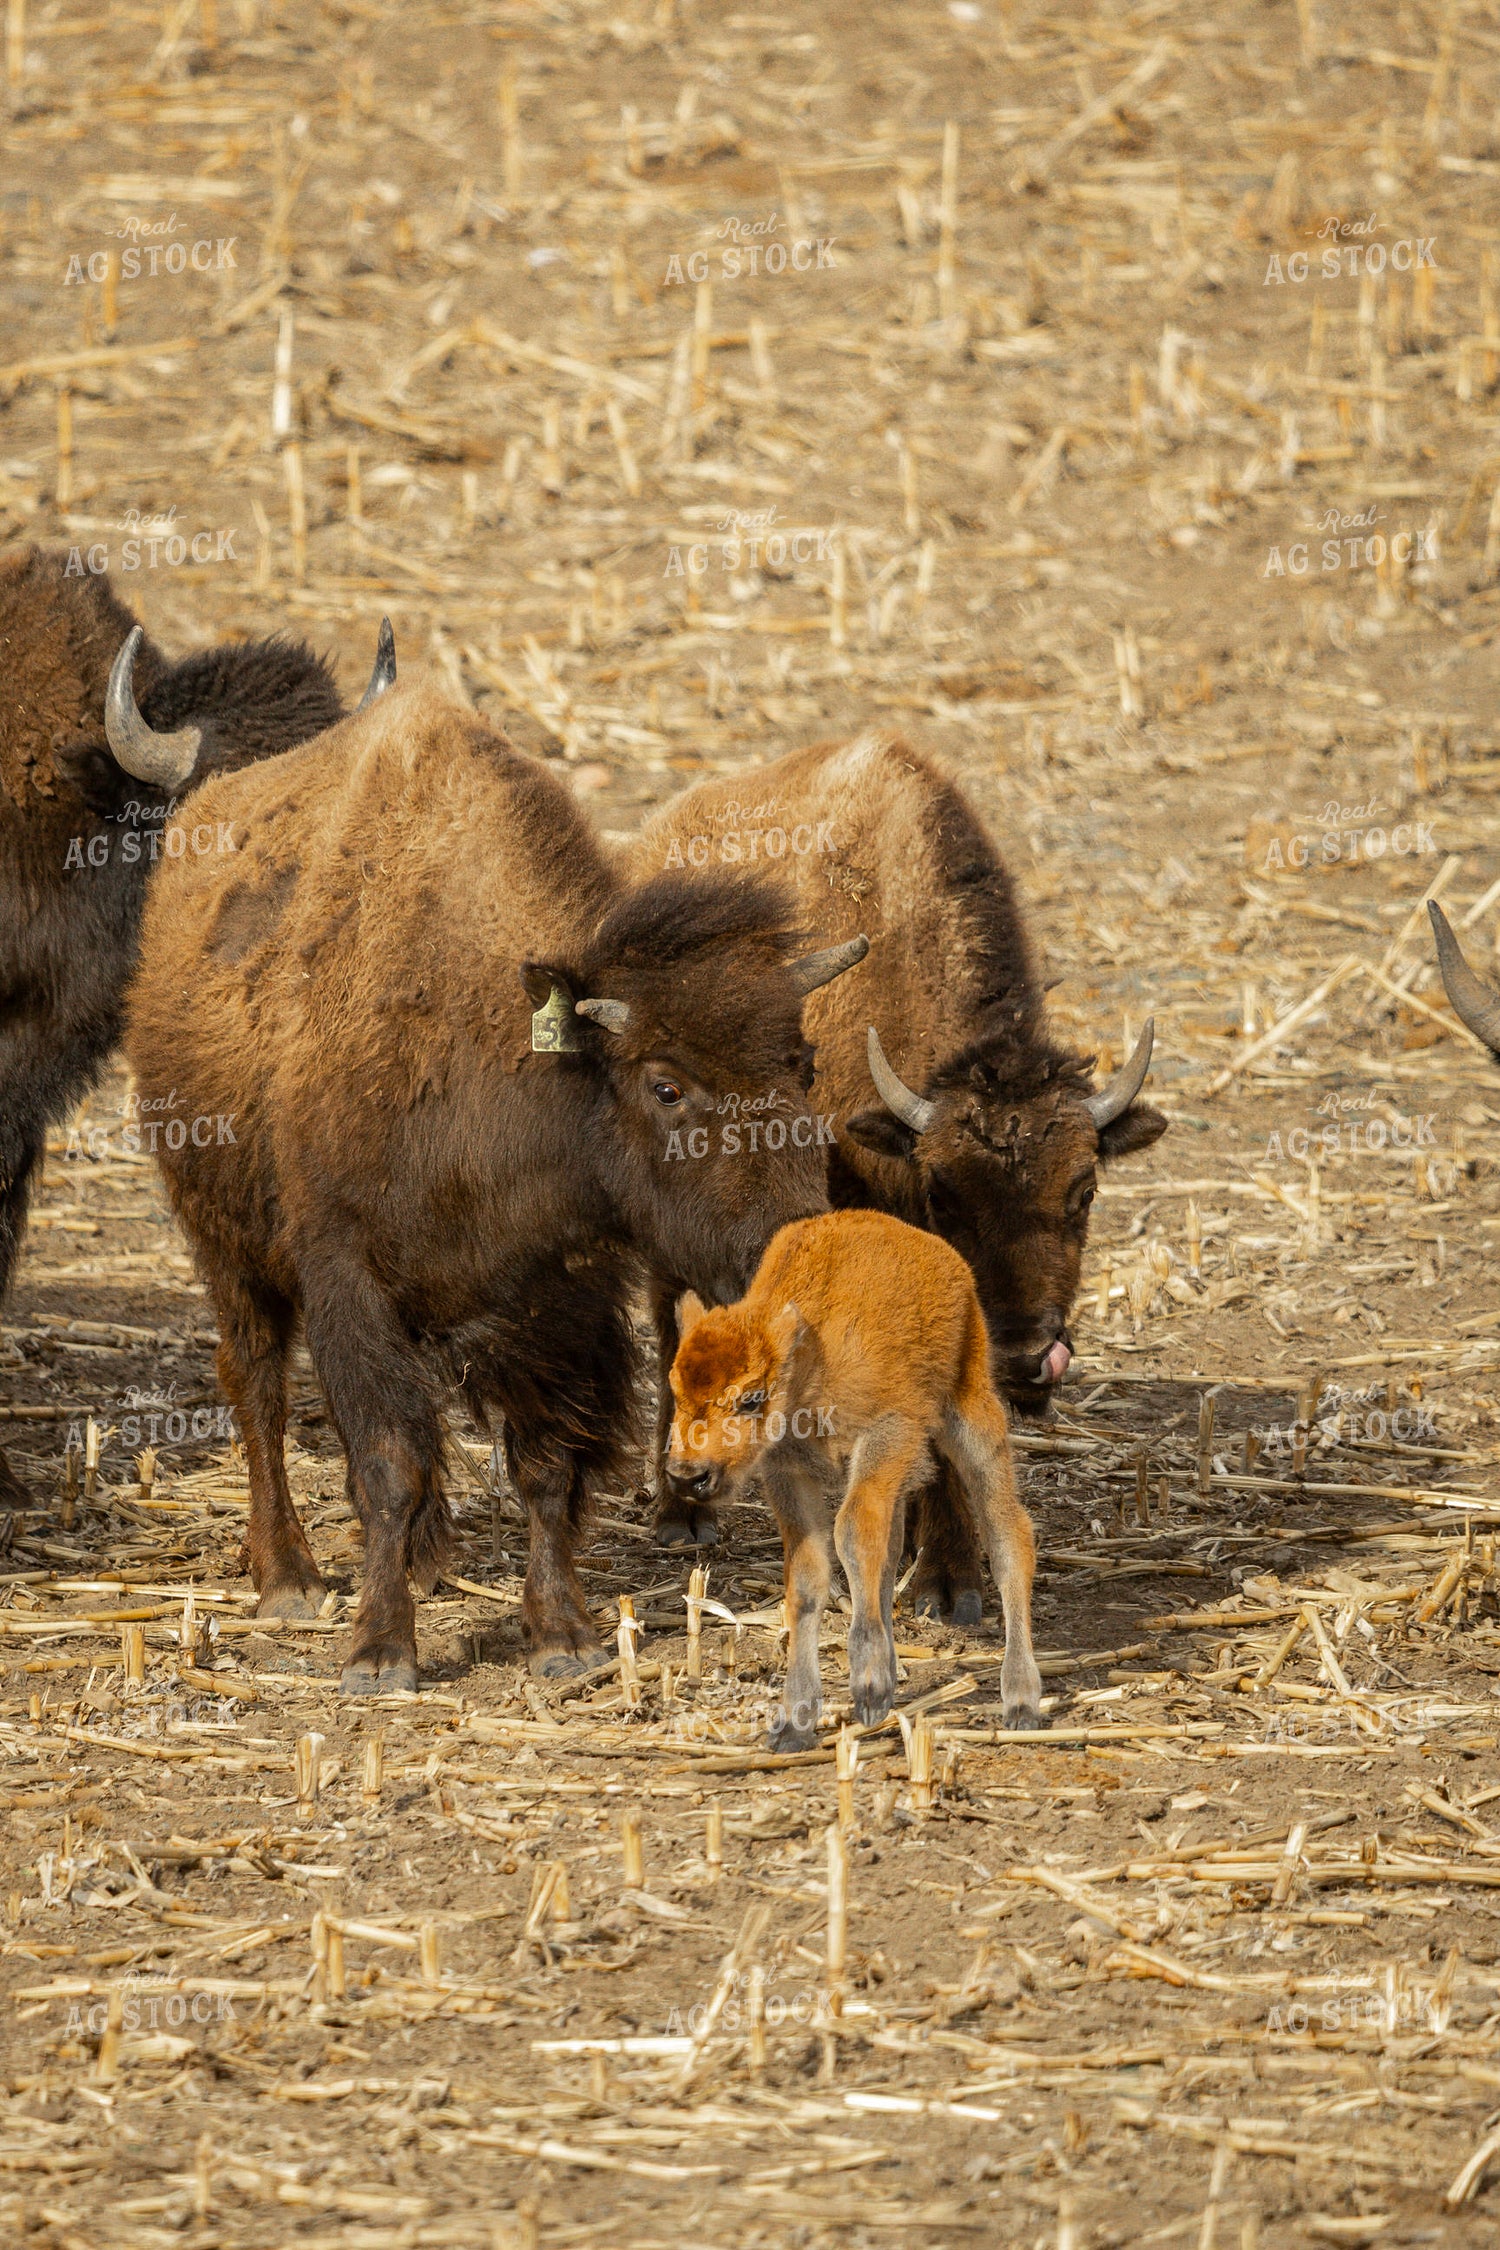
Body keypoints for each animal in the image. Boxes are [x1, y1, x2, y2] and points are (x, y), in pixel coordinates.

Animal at [123, 678, 866, 1691]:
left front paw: (565, 1641)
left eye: (804, 1063)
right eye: (666, 1086)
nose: (796, 1247)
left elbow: (545, 1468)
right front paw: (380, 1653)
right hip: (224, 1241)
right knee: (259, 1386)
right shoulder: (346, 1279)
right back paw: (289, 1578)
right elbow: (388, 1460)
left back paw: (425, 1562)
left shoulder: (560, 1305)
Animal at [633, 731, 1169, 1617]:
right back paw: (682, 1513)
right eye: (942, 1194)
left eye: (1084, 1191)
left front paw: (941, 1562)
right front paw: (945, 1581)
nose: (1027, 1359)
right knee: (672, 1320)